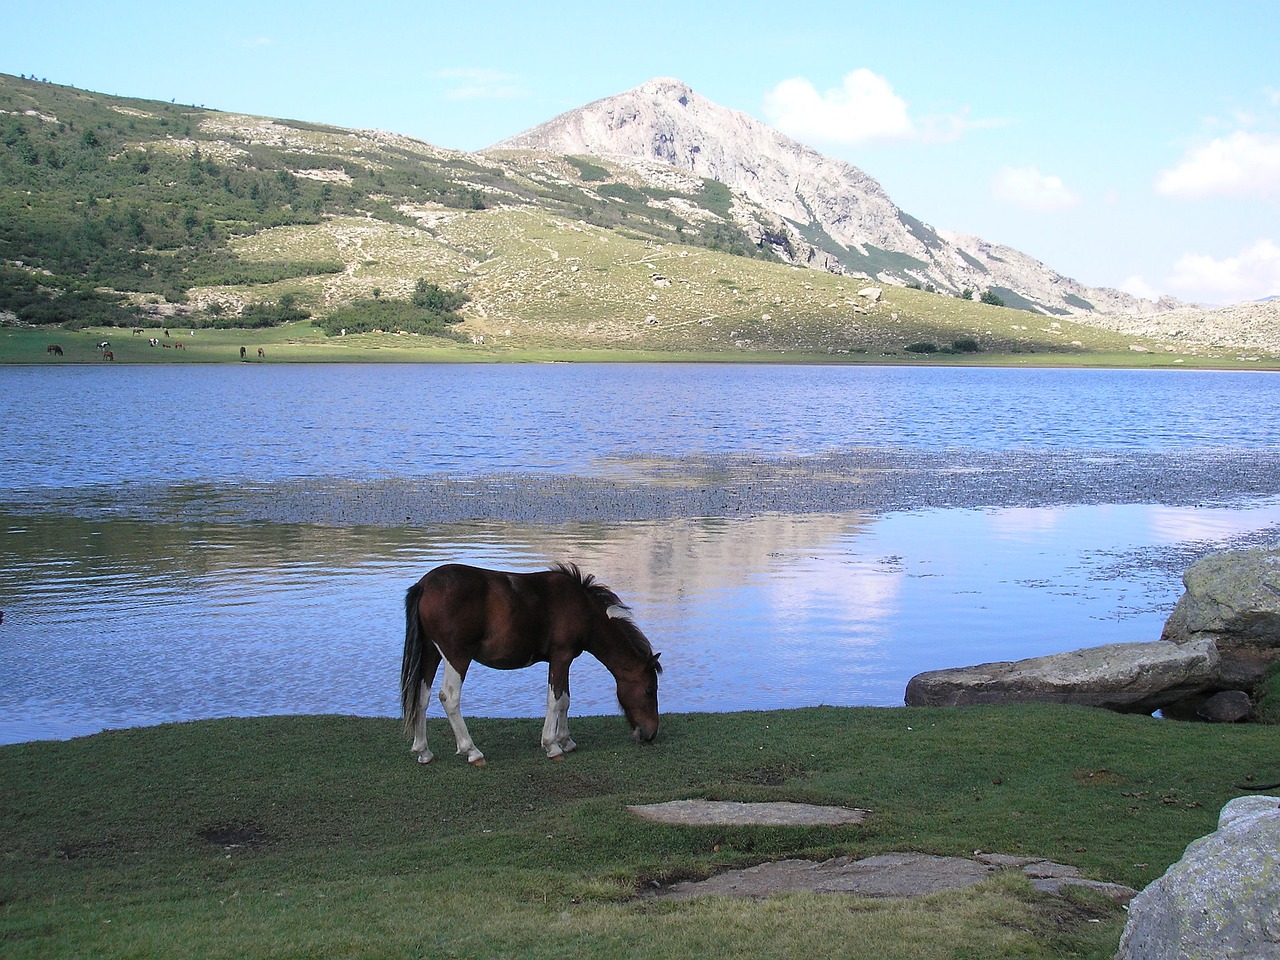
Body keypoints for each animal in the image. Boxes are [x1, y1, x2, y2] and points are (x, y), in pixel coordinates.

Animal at [396, 563, 660, 768]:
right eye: (649, 690)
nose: (651, 734)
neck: (582, 608)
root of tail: (425, 585)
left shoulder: (563, 661)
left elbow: (565, 699)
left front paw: (566, 740)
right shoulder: (561, 657)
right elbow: (555, 700)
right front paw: (552, 746)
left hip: (431, 654)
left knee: (421, 697)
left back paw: (423, 751)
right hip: (457, 656)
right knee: (449, 698)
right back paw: (472, 751)